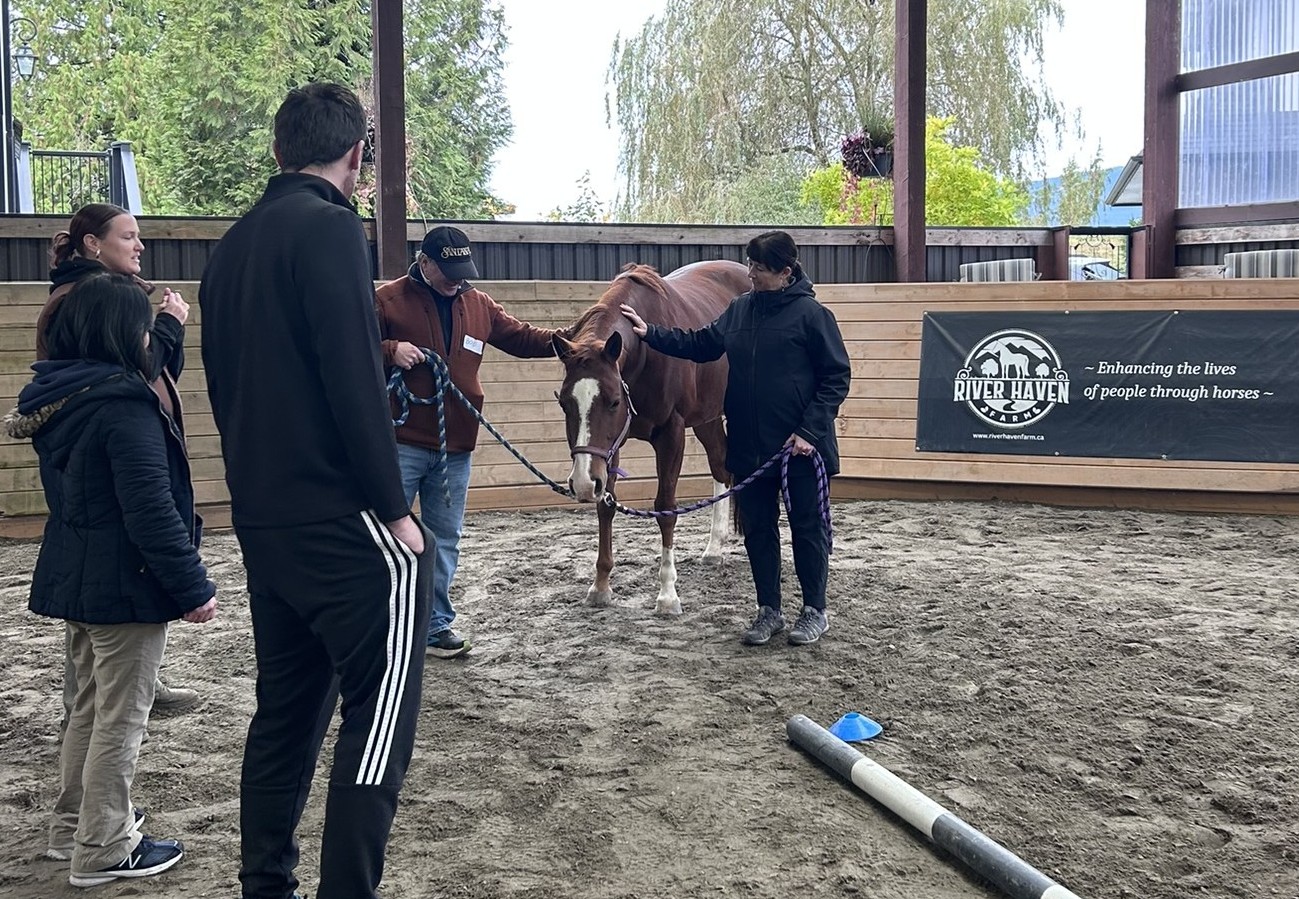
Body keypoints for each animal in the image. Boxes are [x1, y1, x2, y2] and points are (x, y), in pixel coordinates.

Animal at [551, 260, 751, 615]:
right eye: (564, 402)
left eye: (614, 401)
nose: (583, 484)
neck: (645, 353)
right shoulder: (609, 447)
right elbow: (607, 505)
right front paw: (600, 586)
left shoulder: (671, 434)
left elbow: (665, 507)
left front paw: (668, 594)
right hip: (708, 418)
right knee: (720, 466)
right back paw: (714, 547)